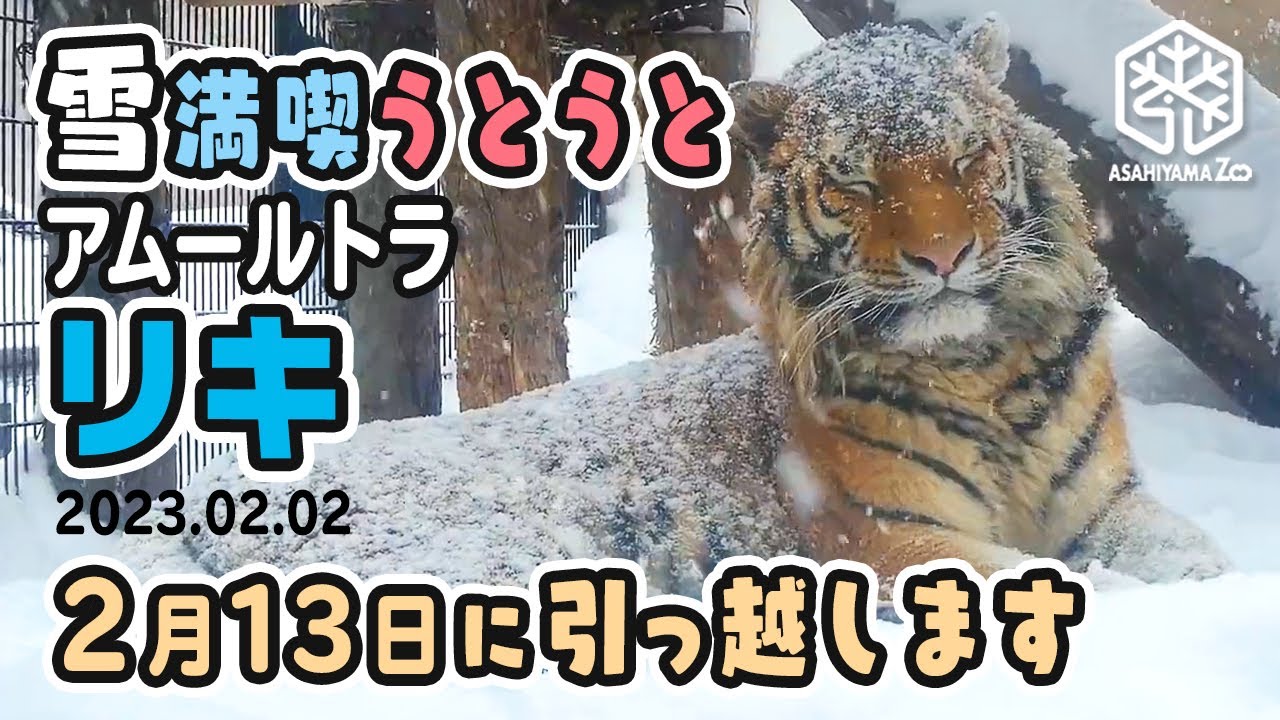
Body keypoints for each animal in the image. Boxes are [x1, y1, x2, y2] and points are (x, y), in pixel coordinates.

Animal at [727, 17, 1231, 591]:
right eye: (857, 183)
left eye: (966, 159)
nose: (944, 255)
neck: (978, 365)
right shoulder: (889, 536)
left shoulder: (1105, 503)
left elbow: (1183, 553)